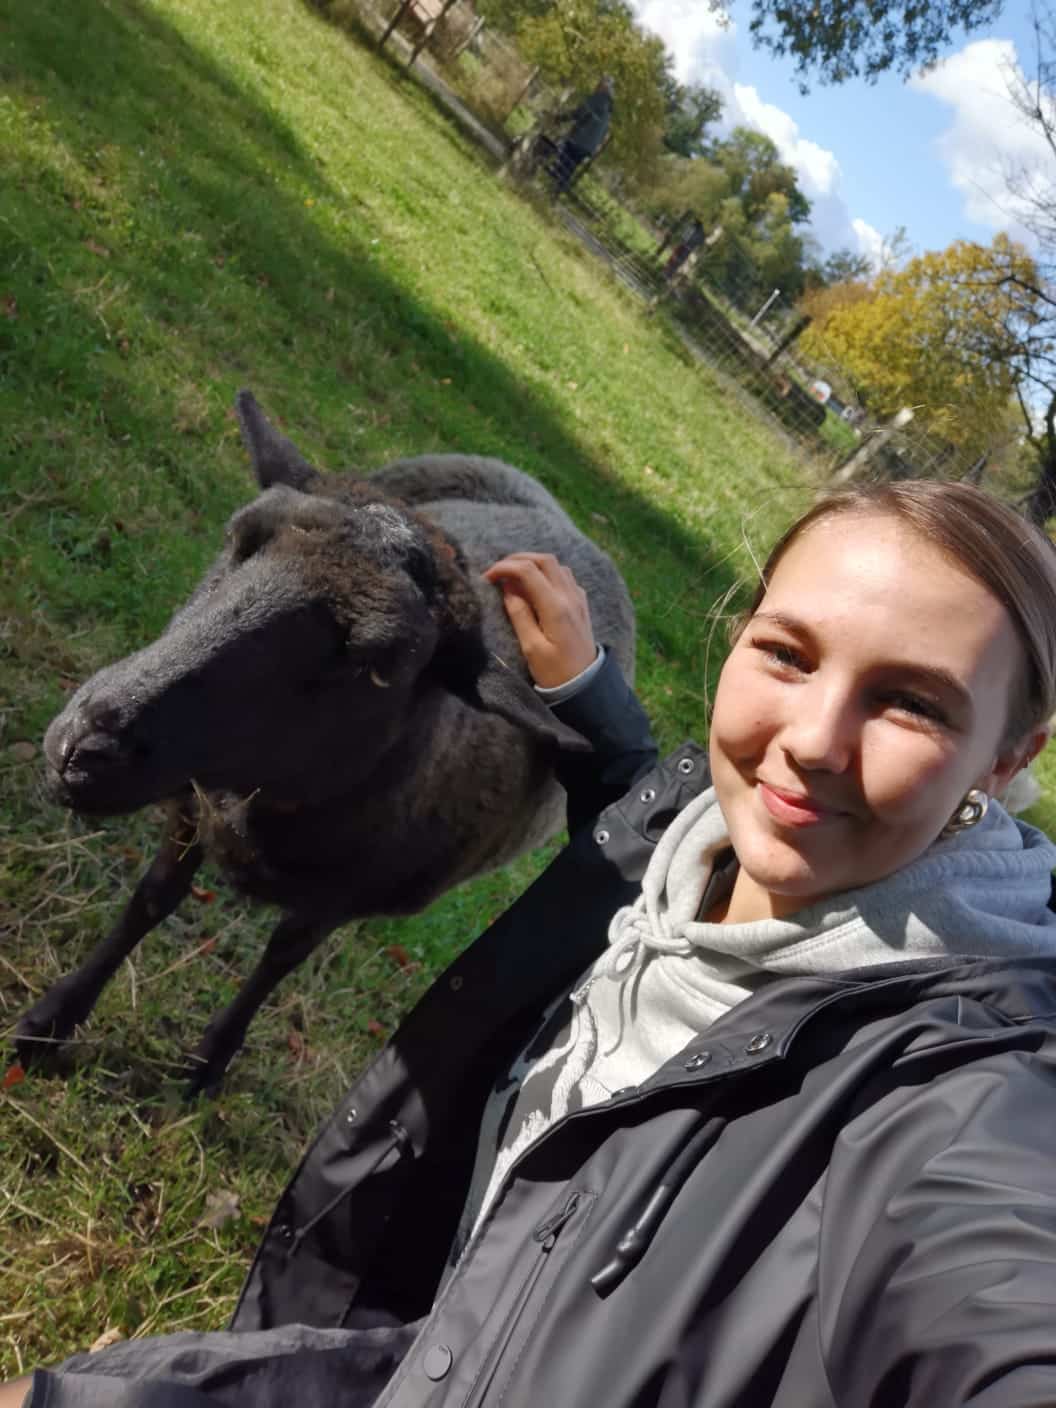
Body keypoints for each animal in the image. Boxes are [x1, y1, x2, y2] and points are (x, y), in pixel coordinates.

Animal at [20, 391, 635, 1093]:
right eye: (239, 537)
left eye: (378, 665)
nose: (82, 746)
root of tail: (575, 527)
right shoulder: (190, 800)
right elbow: (151, 900)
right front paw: (50, 1021)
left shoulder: (344, 898)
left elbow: (278, 958)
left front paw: (208, 1063)